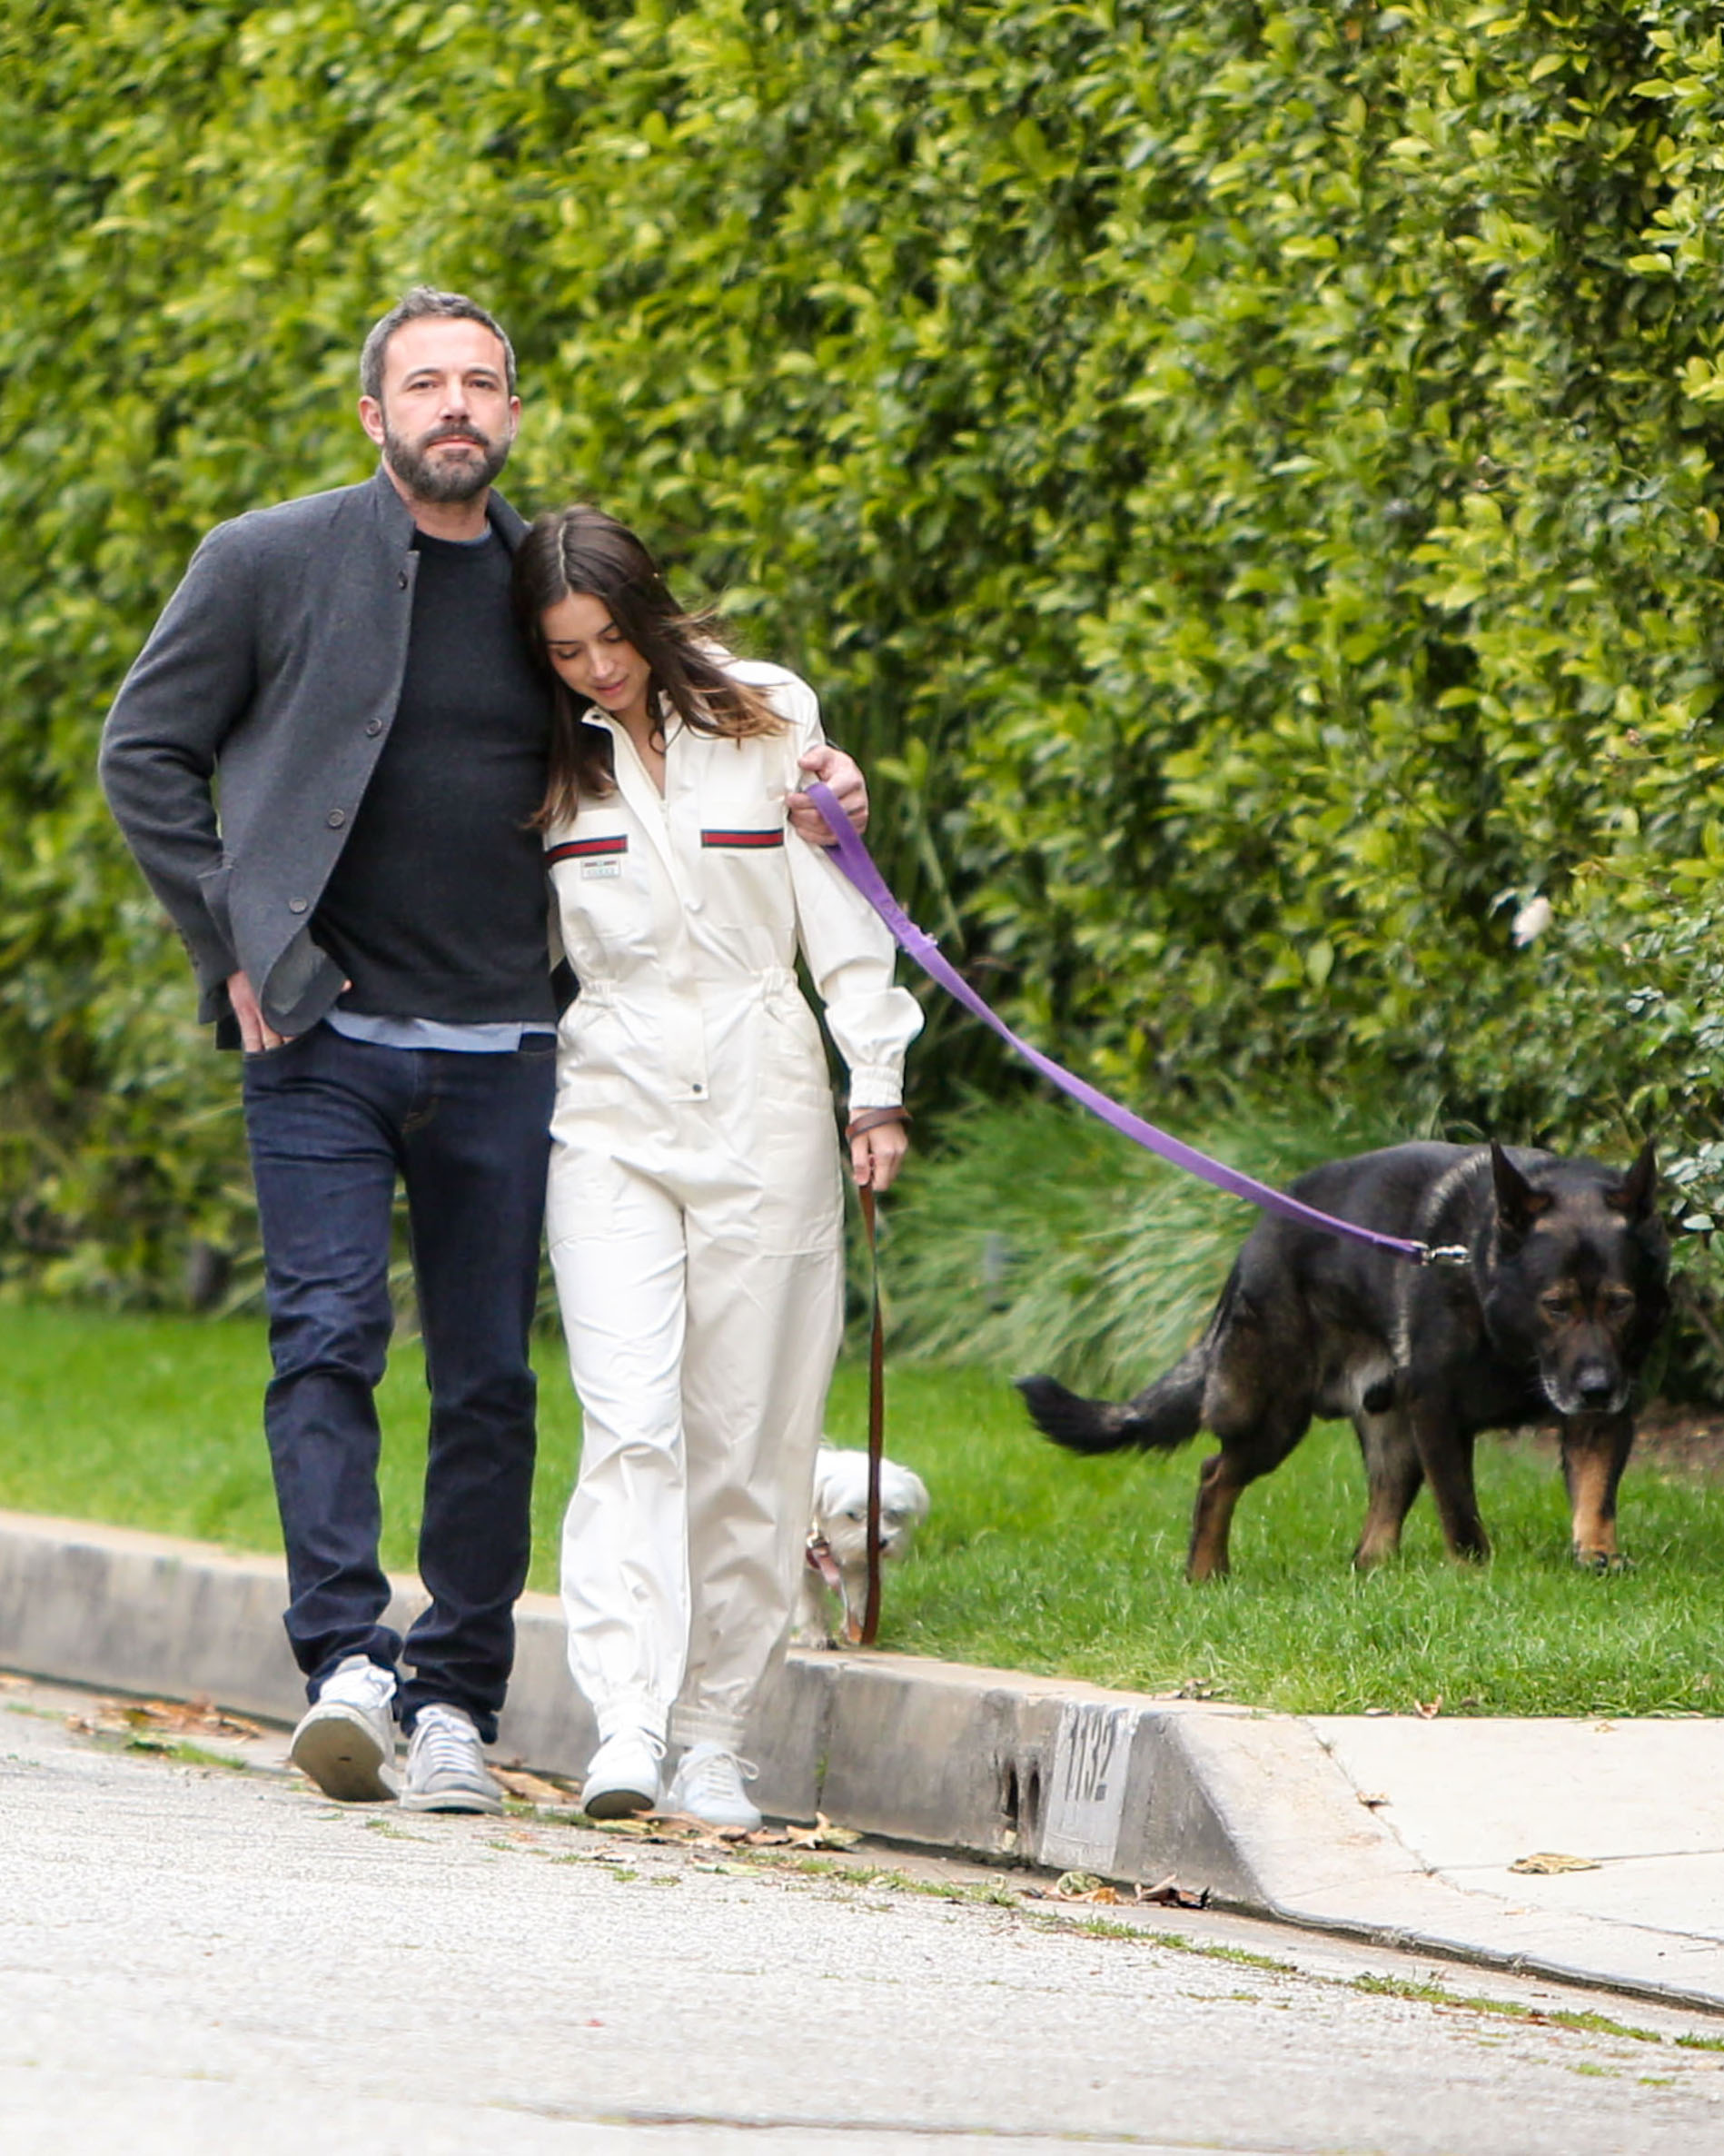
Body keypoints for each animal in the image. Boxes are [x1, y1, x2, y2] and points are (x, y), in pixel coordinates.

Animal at [793, 1440, 930, 1638]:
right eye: (853, 1515)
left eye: (893, 1514)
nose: (880, 1542)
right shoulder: (802, 1573)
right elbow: (811, 1604)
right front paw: (817, 1634)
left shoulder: (861, 1568)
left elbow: (858, 1597)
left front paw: (854, 1627)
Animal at [1016, 1138, 1663, 1578]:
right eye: (1555, 1305)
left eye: (1621, 1304)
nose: (1597, 1388)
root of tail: (1257, 1239)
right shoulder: (1439, 1414)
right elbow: (1460, 1512)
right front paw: (1475, 1573)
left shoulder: (1598, 1417)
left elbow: (1595, 1495)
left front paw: (1597, 1554)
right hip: (1275, 1415)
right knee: (1215, 1474)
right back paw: (1206, 1572)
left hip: (1392, 1438)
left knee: (1377, 1520)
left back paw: (1374, 1572)